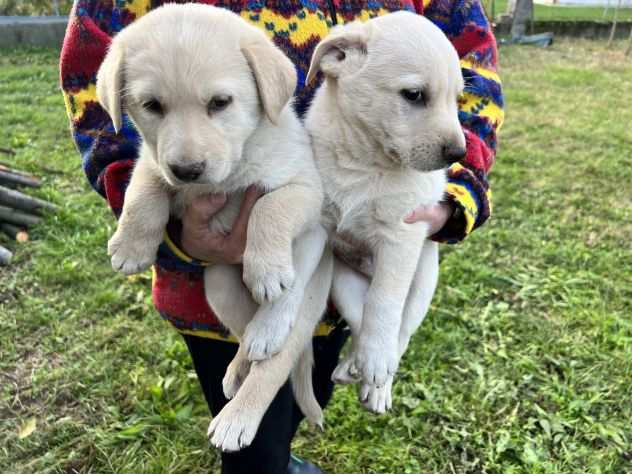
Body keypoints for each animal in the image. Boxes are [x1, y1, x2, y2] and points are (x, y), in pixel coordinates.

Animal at [97, 5, 330, 454]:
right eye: (152, 105)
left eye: (220, 103)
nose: (188, 170)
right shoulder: (154, 159)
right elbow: (143, 185)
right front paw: (131, 245)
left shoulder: (308, 191)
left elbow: (268, 207)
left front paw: (266, 270)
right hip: (219, 285)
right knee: (244, 340)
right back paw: (238, 367)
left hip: (306, 290)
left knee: (272, 360)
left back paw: (237, 416)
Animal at [304, 10, 466, 412]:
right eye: (414, 95)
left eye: (457, 99)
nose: (460, 153)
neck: (363, 162)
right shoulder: (324, 230)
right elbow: (373, 309)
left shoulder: (402, 237)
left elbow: (385, 301)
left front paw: (379, 365)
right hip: (344, 279)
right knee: (361, 318)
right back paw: (355, 365)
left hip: (424, 277)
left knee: (400, 330)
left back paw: (378, 377)